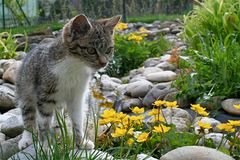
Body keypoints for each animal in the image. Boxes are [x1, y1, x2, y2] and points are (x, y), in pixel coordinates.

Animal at [15, 14, 121, 150]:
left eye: (108, 50)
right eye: (91, 50)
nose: (104, 63)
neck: (75, 66)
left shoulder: (77, 95)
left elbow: (77, 119)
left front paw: (81, 142)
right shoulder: (45, 96)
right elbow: (44, 123)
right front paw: (45, 146)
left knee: (58, 108)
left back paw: (57, 122)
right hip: (25, 90)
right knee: (28, 114)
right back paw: (27, 138)